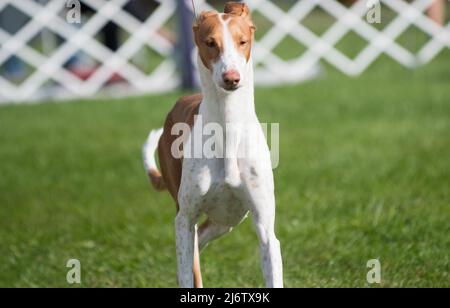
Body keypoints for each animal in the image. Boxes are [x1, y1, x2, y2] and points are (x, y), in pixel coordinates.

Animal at [142, 1, 284, 288]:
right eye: (210, 43)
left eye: (242, 41)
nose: (231, 77)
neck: (227, 128)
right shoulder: (184, 220)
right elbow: (186, 273)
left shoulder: (265, 226)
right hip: (189, 219)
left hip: (226, 220)